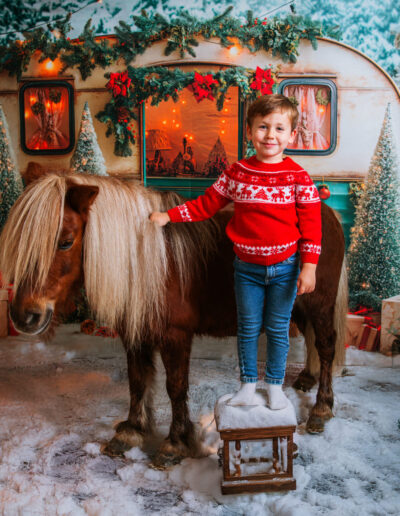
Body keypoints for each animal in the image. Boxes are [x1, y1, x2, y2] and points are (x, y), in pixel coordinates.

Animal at [0, 171, 346, 466]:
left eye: (66, 241)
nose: (23, 315)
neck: (149, 263)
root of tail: (327, 213)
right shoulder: (135, 333)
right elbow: (137, 381)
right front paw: (131, 431)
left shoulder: (175, 336)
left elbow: (175, 387)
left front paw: (175, 443)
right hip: (300, 306)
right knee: (311, 339)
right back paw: (307, 379)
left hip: (320, 304)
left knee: (326, 347)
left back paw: (322, 408)